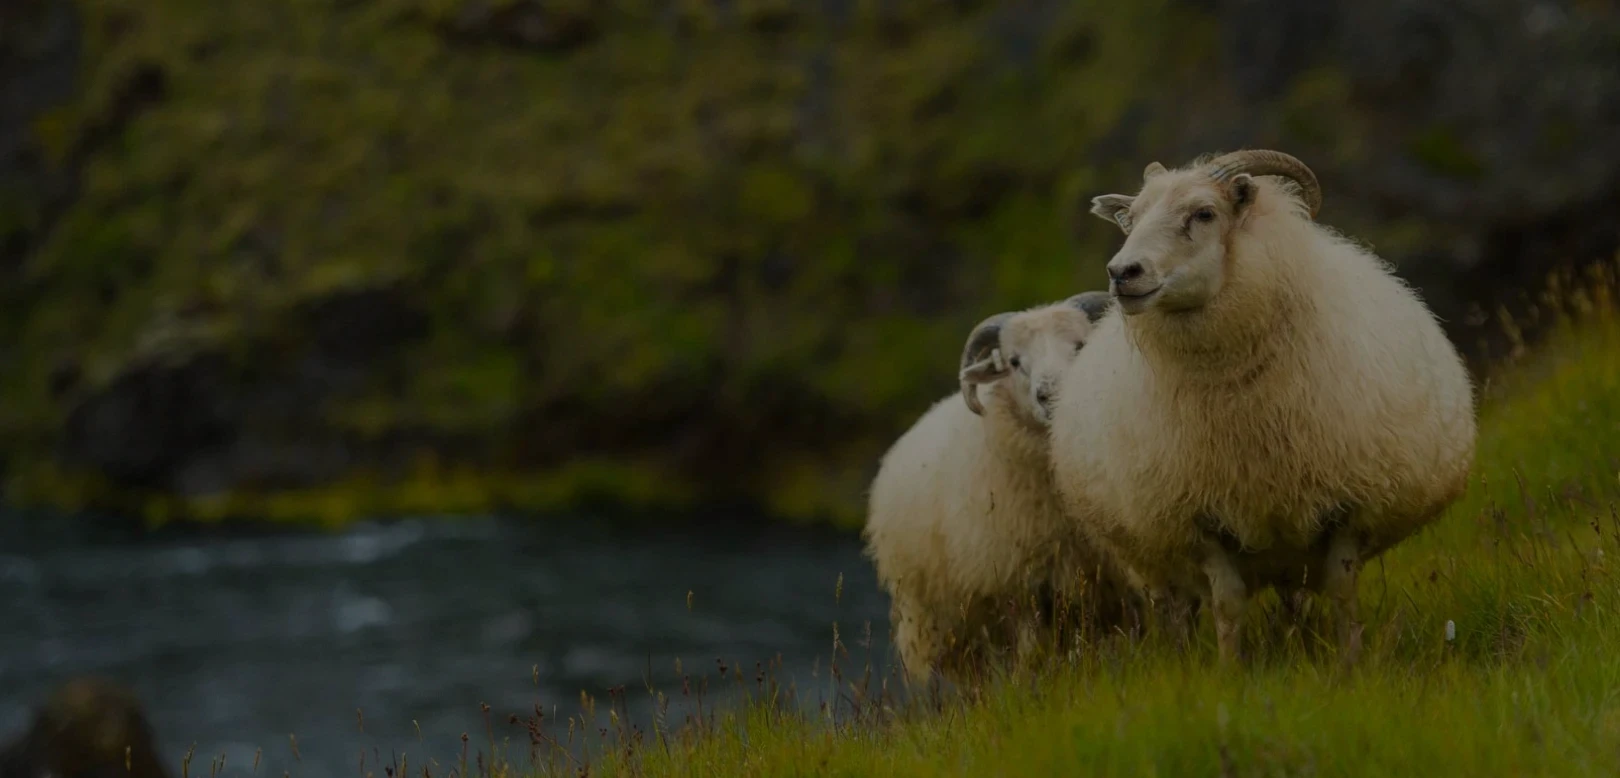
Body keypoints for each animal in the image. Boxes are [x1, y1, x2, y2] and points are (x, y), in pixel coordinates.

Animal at [862, 291, 1132, 686]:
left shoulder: (1113, 577)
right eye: (1014, 361)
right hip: (945, 622)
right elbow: (1031, 658)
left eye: (1080, 345)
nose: (1049, 395)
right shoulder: (1017, 584)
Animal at [1049, 149, 1477, 664]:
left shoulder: (1348, 507)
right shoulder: (1198, 522)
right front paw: (1230, 671)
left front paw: (1351, 665)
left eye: (1204, 213)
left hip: (1289, 546)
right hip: (1154, 556)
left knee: (1294, 600)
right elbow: (1228, 604)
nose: (1122, 273)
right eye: (1129, 219)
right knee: (1177, 608)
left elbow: (1342, 592)